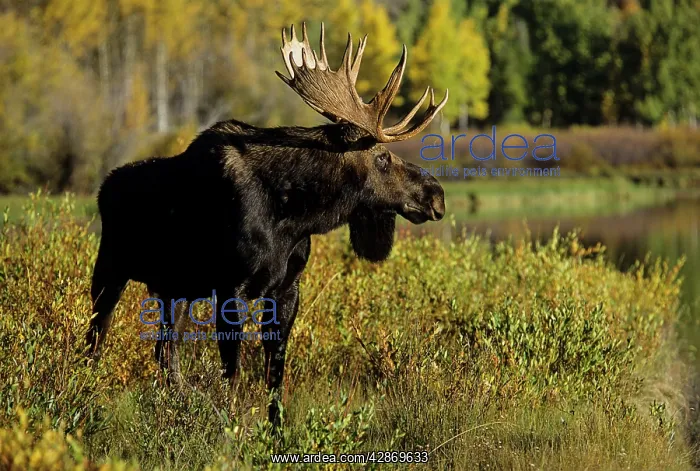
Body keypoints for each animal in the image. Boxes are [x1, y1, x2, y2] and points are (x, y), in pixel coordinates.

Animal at [85, 22, 448, 428]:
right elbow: (233, 373)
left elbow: (275, 374)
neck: (295, 218)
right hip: (110, 271)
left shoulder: (287, 290)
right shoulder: (233, 290)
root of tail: (104, 188)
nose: (436, 195)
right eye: (382, 157)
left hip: (174, 289)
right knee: (96, 341)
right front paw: (231, 426)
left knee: (165, 354)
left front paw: (275, 430)